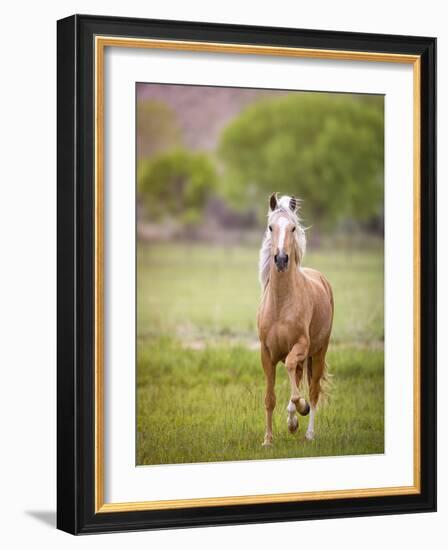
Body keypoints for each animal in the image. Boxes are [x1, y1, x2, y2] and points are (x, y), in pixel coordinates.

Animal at [258, 192, 334, 446]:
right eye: (270, 227)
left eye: (292, 227)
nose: (281, 259)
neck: (281, 304)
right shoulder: (266, 353)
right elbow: (270, 398)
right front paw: (268, 440)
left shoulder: (301, 346)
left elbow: (294, 376)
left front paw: (302, 407)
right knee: (299, 380)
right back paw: (292, 423)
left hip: (318, 353)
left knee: (313, 389)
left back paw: (308, 431)